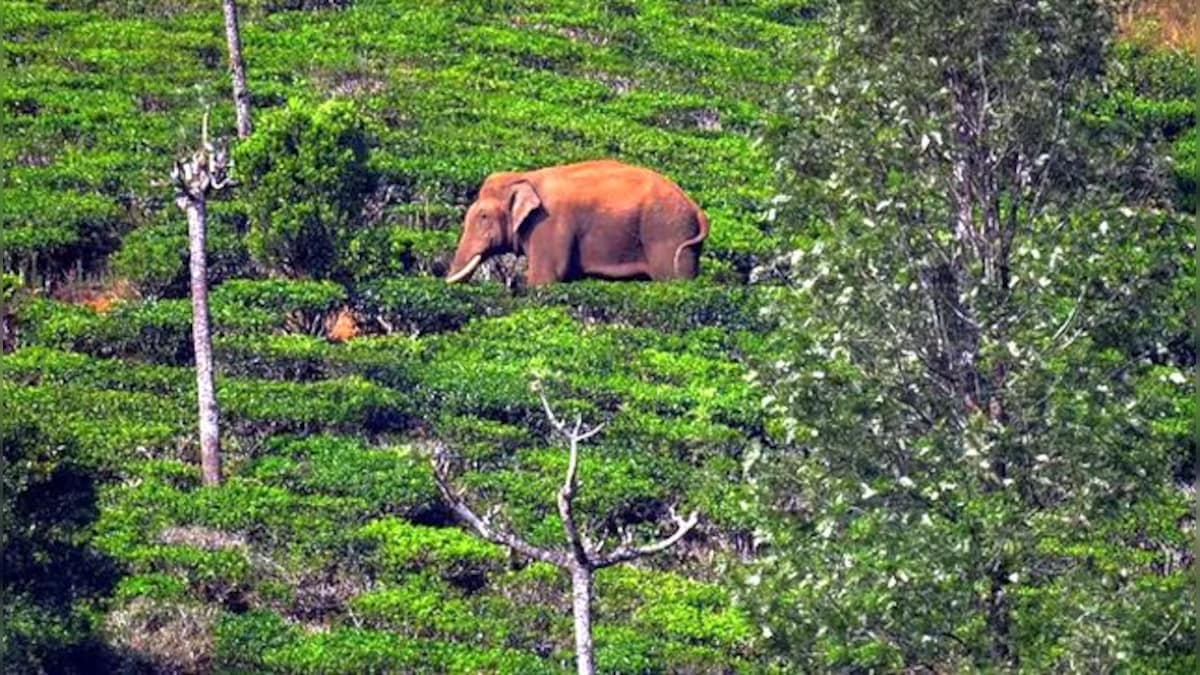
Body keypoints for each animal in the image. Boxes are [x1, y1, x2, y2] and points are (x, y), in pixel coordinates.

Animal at [444, 159, 705, 283]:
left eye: (483, 216)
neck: (525, 176)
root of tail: (697, 209)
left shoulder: (549, 223)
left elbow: (545, 277)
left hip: (667, 233)